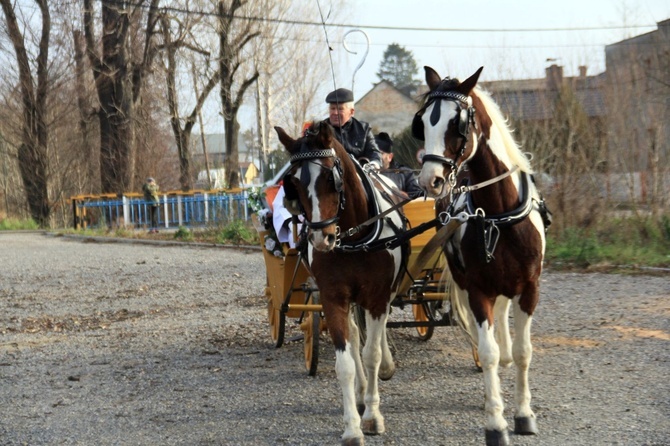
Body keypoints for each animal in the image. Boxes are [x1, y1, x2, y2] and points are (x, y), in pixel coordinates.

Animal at [274, 121, 410, 446]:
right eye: (293, 184)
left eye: (330, 178)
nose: (321, 238)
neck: (354, 235)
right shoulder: (334, 297)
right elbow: (346, 362)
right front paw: (352, 426)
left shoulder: (377, 296)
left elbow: (371, 355)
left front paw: (373, 416)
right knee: (355, 335)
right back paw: (361, 394)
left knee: (374, 339)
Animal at [418, 66, 552, 446]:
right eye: (423, 122)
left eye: (458, 123)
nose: (430, 181)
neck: (498, 214)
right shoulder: (478, 291)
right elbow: (488, 352)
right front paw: (496, 423)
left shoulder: (530, 288)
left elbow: (523, 352)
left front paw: (524, 415)